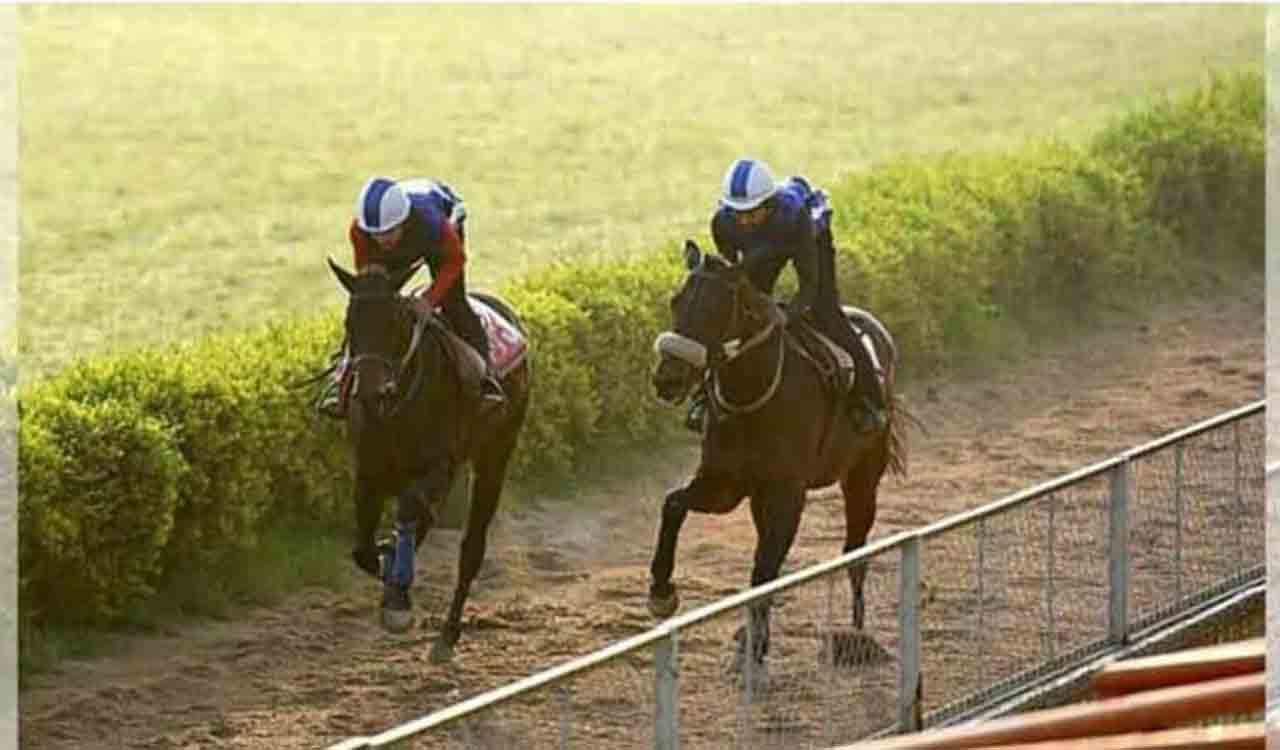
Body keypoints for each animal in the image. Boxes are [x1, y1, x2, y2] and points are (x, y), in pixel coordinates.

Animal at [327, 258, 531, 663]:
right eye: (349, 322)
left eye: (393, 322)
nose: (370, 391)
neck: (395, 409)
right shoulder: (369, 469)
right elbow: (363, 548)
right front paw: (388, 567)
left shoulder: (439, 464)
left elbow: (409, 512)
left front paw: (396, 599)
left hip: (496, 451)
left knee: (471, 547)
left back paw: (448, 633)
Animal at [648, 240, 907, 672]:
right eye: (675, 300)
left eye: (717, 308)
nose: (668, 378)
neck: (752, 392)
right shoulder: (725, 483)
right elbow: (674, 504)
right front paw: (661, 590)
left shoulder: (788, 492)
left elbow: (764, 571)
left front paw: (755, 647)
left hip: (863, 477)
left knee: (855, 550)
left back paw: (856, 635)